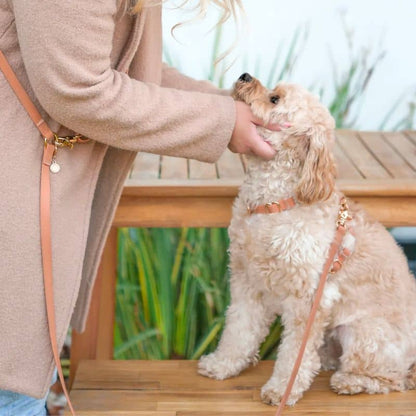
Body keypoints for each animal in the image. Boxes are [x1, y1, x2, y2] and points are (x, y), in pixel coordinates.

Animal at [197, 73, 416, 404]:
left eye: (274, 99)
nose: (245, 76)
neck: (275, 203)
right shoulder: (246, 282)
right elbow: (239, 330)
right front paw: (223, 365)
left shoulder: (310, 298)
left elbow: (293, 354)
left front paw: (280, 390)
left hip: (365, 335)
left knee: (393, 379)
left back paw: (350, 382)